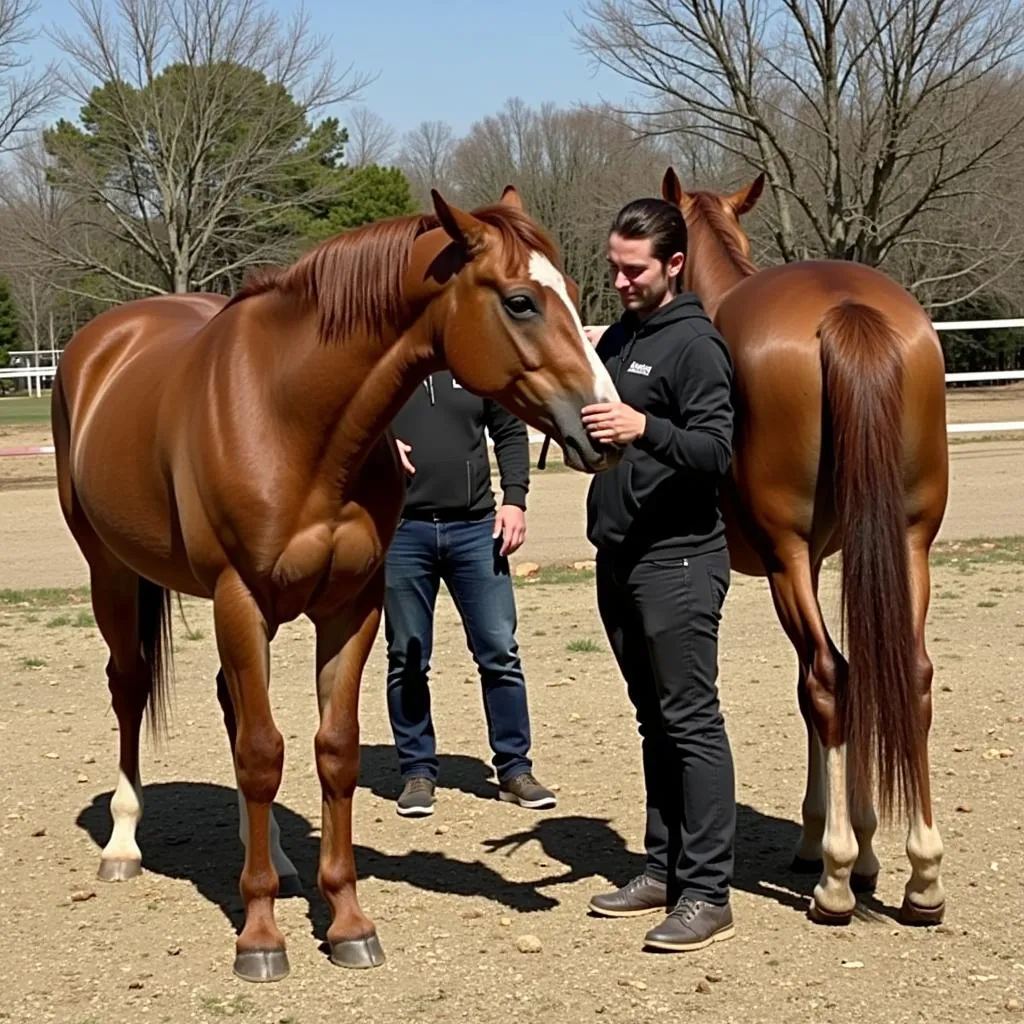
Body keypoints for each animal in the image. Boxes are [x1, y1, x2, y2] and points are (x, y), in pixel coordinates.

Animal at [54, 186, 614, 983]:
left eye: (568, 289)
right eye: (520, 301)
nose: (605, 426)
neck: (291, 418)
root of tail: (102, 343)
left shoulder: (352, 607)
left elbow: (332, 751)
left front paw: (347, 920)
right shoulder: (241, 599)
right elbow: (263, 755)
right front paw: (259, 937)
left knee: (229, 705)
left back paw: (278, 859)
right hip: (112, 571)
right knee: (130, 689)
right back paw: (124, 844)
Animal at [659, 165, 946, 929]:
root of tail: (847, 310)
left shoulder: (797, 561)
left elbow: (810, 686)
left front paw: (828, 843)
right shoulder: (832, 557)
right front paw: (868, 846)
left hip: (787, 557)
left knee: (828, 677)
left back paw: (837, 881)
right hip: (910, 540)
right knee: (905, 674)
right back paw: (922, 877)